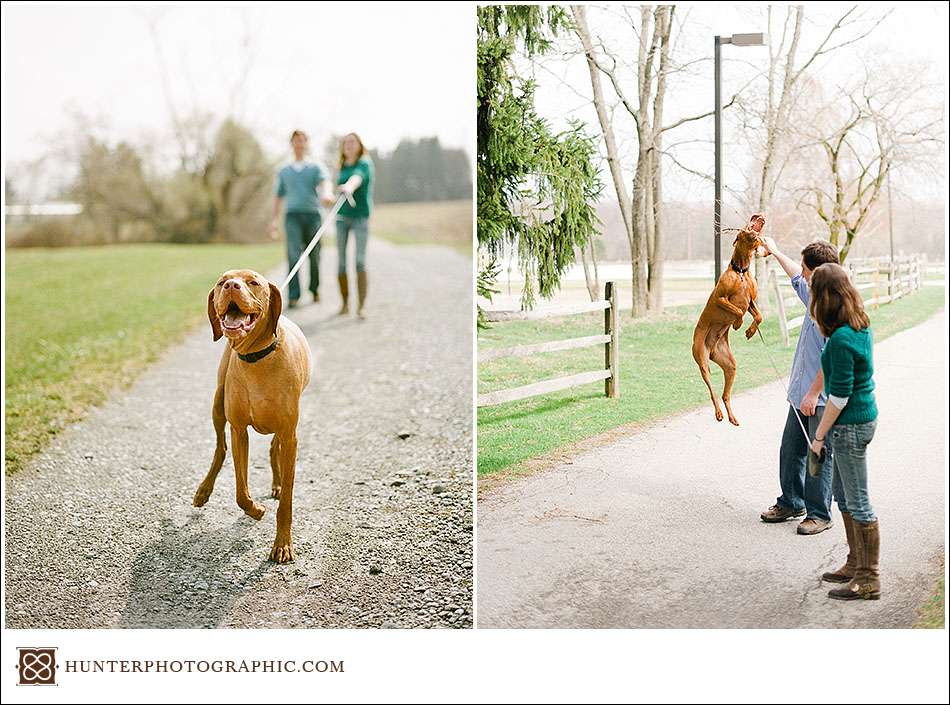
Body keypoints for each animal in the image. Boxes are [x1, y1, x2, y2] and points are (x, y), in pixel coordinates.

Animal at [192, 266, 312, 564]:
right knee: (220, 449)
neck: (258, 358)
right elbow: (240, 492)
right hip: (217, 404)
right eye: (221, 282)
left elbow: (287, 501)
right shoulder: (239, 431)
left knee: (273, 448)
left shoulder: (290, 434)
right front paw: (256, 510)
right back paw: (203, 491)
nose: (231, 286)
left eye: (253, 282)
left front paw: (282, 544)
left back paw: (277, 482)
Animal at [696, 213, 768, 424]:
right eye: (745, 228)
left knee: (725, 394)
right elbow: (736, 310)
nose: (759, 215)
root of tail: (711, 348)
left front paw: (750, 331)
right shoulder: (720, 298)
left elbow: (759, 316)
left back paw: (731, 416)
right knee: (712, 391)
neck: (741, 271)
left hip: (730, 366)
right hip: (702, 362)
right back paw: (719, 413)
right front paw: (737, 323)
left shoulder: (751, 301)